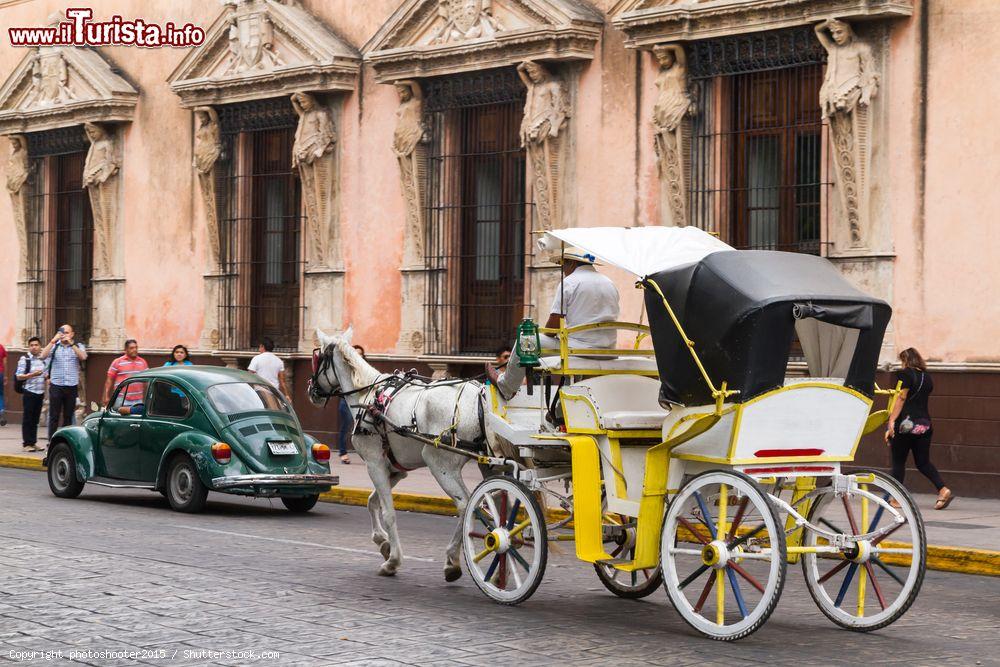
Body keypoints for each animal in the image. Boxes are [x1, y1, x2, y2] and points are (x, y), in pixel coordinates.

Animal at [310, 328, 486, 580]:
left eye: (317, 359)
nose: (312, 391)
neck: (368, 397)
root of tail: (478, 394)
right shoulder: (395, 469)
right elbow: (372, 502)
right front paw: (382, 543)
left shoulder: (374, 464)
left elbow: (389, 513)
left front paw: (392, 560)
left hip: (440, 463)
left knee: (467, 506)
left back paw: (453, 559)